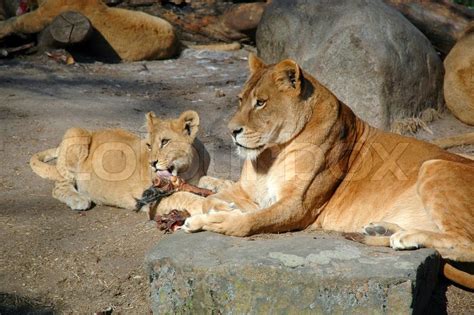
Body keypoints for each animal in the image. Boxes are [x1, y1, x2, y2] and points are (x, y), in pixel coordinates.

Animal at [165, 53, 472, 288]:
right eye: (240, 100)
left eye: (261, 102)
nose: (231, 131)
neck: (272, 153)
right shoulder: (246, 190)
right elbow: (211, 200)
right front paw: (218, 207)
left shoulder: (298, 206)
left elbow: (247, 222)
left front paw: (216, 220)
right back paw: (382, 229)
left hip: (435, 165)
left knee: (465, 242)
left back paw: (404, 237)